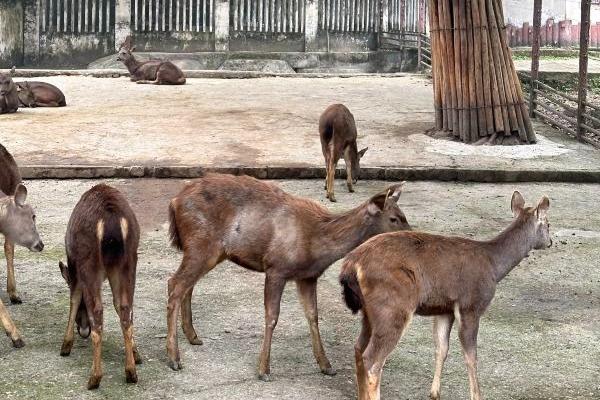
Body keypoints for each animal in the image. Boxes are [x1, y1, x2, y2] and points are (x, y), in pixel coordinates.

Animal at [58, 184, 143, 390]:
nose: (83, 330)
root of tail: (112, 222)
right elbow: (118, 306)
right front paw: (136, 354)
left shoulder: (75, 268)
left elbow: (74, 299)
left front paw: (65, 346)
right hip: (129, 260)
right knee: (126, 309)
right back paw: (131, 371)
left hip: (89, 262)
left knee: (97, 311)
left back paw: (94, 377)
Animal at [164, 173, 408, 382]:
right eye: (394, 218)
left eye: (404, 216)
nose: (410, 235)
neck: (318, 243)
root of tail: (174, 201)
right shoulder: (276, 267)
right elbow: (272, 317)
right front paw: (264, 369)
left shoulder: (307, 277)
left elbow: (313, 316)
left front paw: (326, 365)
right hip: (201, 244)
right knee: (175, 284)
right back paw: (174, 358)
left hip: (210, 252)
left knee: (187, 285)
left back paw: (192, 336)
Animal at [340, 191, 552, 400]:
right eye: (548, 224)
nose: (550, 242)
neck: (493, 266)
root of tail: (351, 264)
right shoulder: (470, 305)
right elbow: (471, 356)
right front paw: (476, 395)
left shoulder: (444, 309)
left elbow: (441, 348)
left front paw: (434, 393)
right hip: (392, 306)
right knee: (373, 360)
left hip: (370, 312)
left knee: (358, 348)